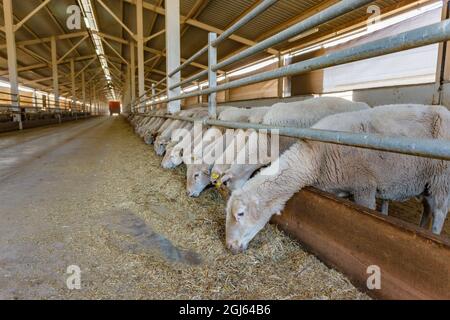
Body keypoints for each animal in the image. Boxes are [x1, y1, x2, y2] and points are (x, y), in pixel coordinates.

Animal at [227, 104, 450, 254]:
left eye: (240, 214)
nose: (229, 246)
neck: (314, 156)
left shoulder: (364, 187)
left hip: (442, 178)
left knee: (440, 211)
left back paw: (434, 234)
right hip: (427, 183)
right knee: (428, 208)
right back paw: (422, 228)